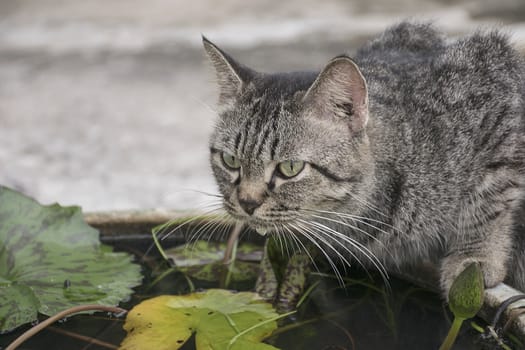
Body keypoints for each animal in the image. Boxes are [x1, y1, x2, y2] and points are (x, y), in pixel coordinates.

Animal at [202, 21, 524, 296]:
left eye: (290, 168)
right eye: (230, 160)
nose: (247, 202)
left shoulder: (500, 108)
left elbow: (490, 203)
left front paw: (474, 258)